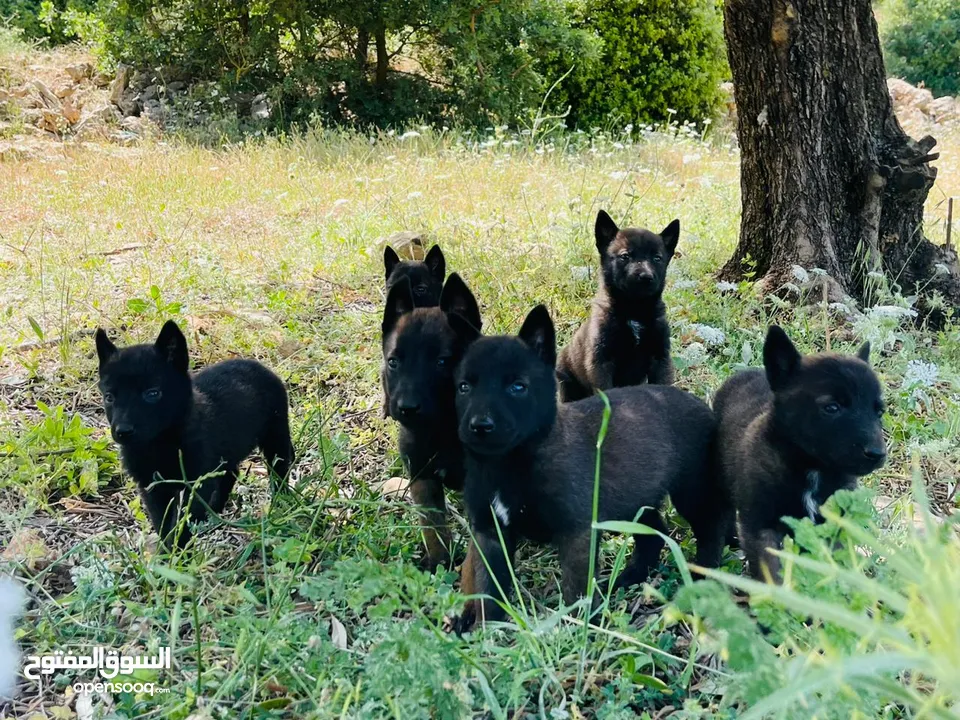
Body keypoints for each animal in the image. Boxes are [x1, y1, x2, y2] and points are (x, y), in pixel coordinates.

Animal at [97, 320, 294, 544]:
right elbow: (162, 523)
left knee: (279, 469)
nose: (123, 432)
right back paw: (214, 511)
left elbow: (184, 521)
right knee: (231, 473)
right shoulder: (152, 486)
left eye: (152, 393)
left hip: (275, 434)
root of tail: (260, 367)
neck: (160, 443)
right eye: (109, 397)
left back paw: (281, 503)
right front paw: (168, 551)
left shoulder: (198, 480)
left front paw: (180, 548)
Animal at [382, 272, 484, 572]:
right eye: (393, 362)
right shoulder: (422, 478)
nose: (406, 408)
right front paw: (439, 560)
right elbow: (433, 527)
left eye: (442, 362)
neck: (444, 428)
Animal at [450, 304, 728, 632]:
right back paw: (628, 578)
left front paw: (578, 630)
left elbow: (576, 592)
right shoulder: (490, 535)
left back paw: (703, 579)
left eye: (518, 387)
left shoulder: (576, 534)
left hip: (692, 491)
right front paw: (486, 632)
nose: (480, 426)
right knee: (654, 532)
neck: (509, 464)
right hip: (632, 498)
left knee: (709, 530)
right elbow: (488, 589)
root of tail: (703, 406)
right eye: (464, 387)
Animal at [552, 210, 680, 404]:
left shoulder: (660, 358)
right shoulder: (601, 363)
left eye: (657, 258)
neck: (634, 310)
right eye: (625, 256)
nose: (646, 277)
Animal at [716, 330, 888, 584]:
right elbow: (773, 575)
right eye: (832, 407)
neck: (812, 469)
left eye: (879, 412)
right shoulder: (762, 528)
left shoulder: (832, 527)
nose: (877, 454)